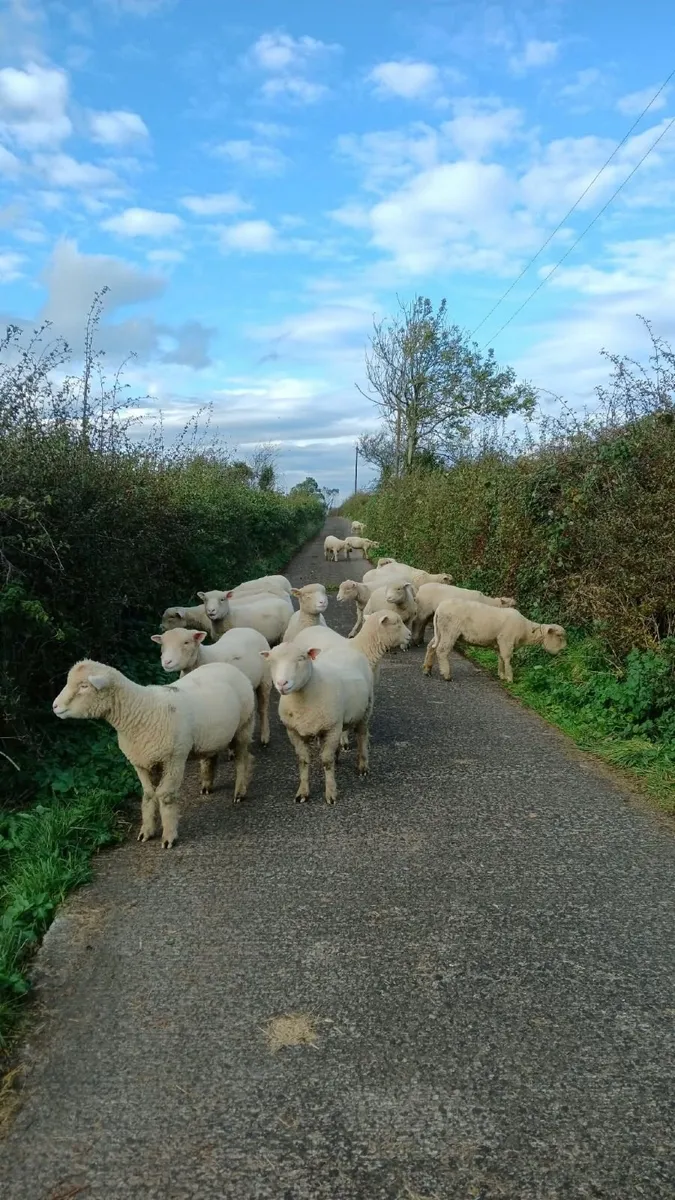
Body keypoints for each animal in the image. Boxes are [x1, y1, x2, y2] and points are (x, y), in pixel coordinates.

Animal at [52, 659, 255, 848]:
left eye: (84, 686)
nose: (54, 706)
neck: (140, 712)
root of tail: (226, 665)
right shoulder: (141, 762)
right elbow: (149, 795)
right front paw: (147, 832)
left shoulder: (174, 759)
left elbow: (165, 796)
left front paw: (168, 837)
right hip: (211, 735)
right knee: (210, 756)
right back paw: (207, 785)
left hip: (244, 726)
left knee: (243, 759)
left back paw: (239, 792)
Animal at [423, 600, 567, 683]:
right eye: (559, 636)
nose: (564, 650)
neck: (526, 630)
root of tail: (439, 609)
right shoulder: (506, 640)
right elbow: (507, 658)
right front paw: (510, 678)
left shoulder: (499, 643)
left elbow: (501, 658)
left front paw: (501, 674)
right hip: (450, 630)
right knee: (442, 650)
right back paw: (446, 675)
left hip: (441, 630)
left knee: (431, 647)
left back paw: (427, 669)